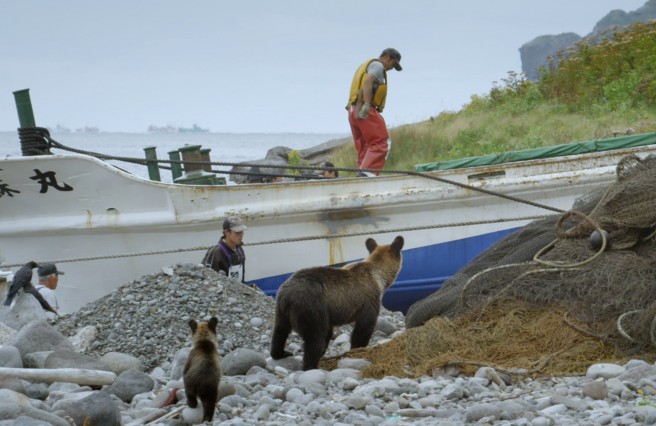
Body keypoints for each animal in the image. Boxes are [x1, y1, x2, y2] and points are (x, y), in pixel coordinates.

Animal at [270, 235, 402, 372]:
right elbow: (364, 327)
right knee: (315, 338)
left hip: (282, 308)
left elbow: (329, 331)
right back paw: (311, 366)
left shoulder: (329, 313)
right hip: (311, 306)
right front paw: (358, 349)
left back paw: (280, 353)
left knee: (280, 331)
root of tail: (288, 296)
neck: (379, 277)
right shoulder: (369, 300)